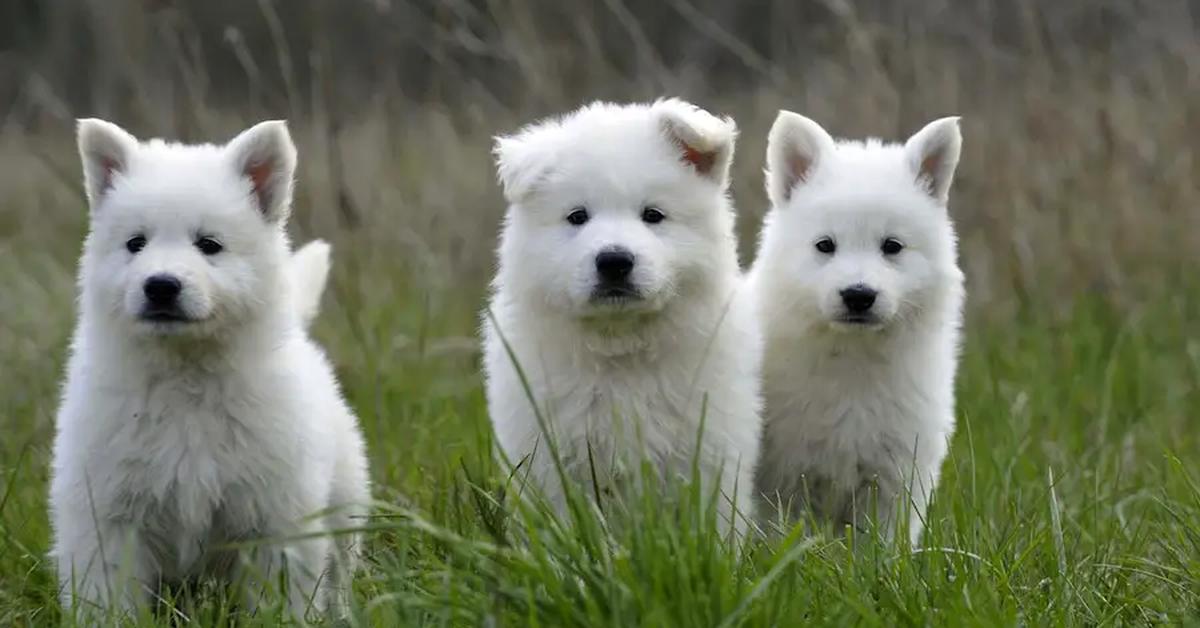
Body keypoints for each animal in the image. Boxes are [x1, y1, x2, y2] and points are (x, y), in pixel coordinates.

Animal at [50, 119, 369, 619]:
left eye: (209, 245)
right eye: (135, 243)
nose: (161, 286)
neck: (185, 377)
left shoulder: (273, 513)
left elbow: (279, 596)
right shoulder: (108, 514)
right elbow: (109, 599)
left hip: (342, 505)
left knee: (337, 576)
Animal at [482, 100, 763, 537]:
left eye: (653, 215)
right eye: (577, 216)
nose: (614, 261)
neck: (621, 348)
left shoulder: (709, 444)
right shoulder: (547, 454)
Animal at [748, 112, 964, 545]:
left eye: (892, 246)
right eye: (825, 245)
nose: (858, 295)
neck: (852, 356)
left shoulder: (894, 478)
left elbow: (880, 548)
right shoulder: (781, 479)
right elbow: (779, 540)